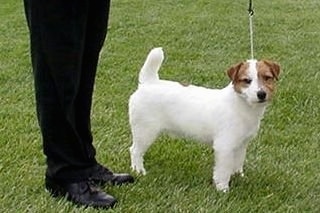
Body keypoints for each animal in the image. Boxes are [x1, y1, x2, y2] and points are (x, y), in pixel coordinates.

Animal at [129, 47, 278, 191]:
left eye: (267, 77)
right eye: (247, 80)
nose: (261, 94)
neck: (240, 104)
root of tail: (148, 83)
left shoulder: (241, 144)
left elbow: (238, 162)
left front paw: (238, 176)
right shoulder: (224, 146)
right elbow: (223, 171)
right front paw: (223, 189)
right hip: (145, 131)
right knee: (135, 150)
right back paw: (139, 170)